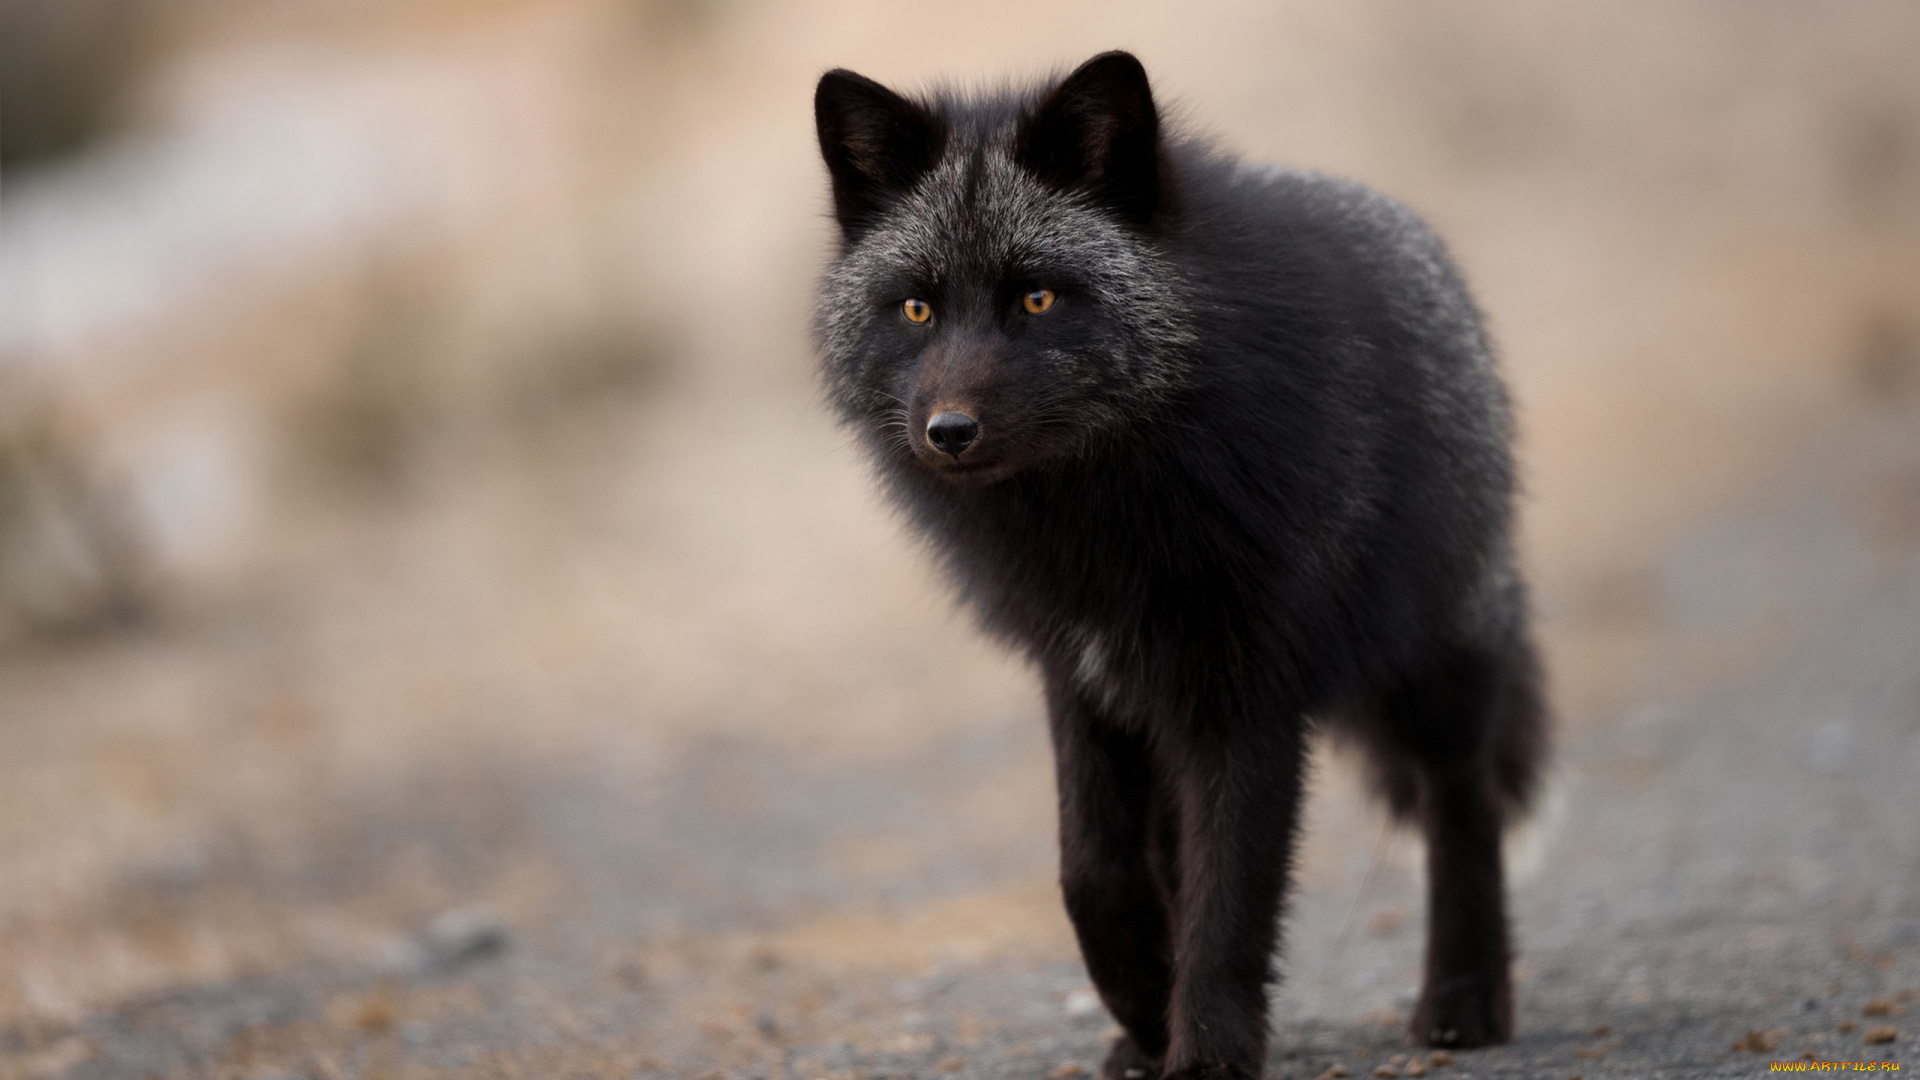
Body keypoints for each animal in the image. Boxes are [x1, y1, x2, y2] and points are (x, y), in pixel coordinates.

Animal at [811, 51, 1548, 1080]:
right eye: (916, 307)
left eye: (1037, 299)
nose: (947, 433)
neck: (1101, 518)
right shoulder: (1083, 677)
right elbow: (1093, 872)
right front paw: (1144, 1008)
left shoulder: (1246, 697)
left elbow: (1228, 902)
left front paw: (1202, 1051)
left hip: (1427, 665)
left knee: (1463, 799)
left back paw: (1465, 995)